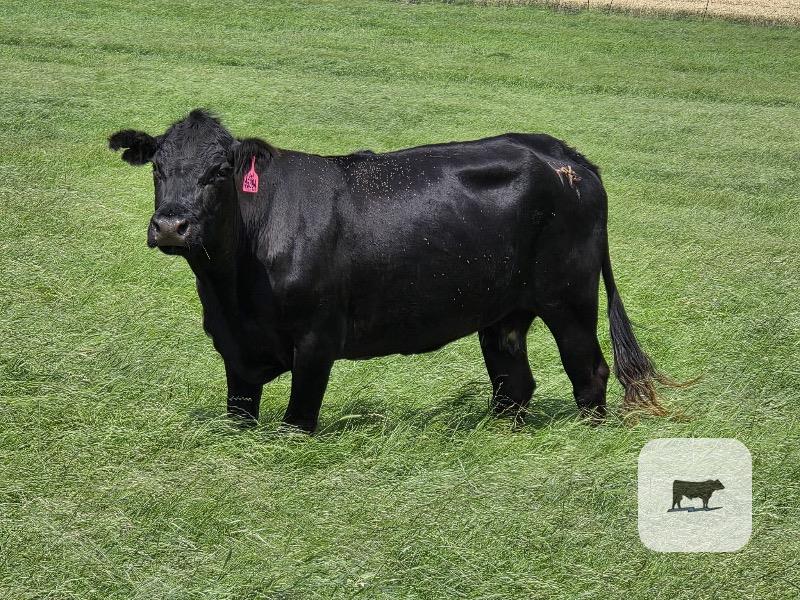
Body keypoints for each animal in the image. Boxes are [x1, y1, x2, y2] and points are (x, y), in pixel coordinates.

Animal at [108, 109, 678, 433]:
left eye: (220, 171)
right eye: (158, 167)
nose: (171, 225)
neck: (231, 289)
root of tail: (565, 155)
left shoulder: (318, 338)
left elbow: (298, 421)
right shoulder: (235, 348)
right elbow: (239, 417)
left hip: (570, 296)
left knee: (589, 370)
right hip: (503, 310)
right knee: (513, 381)